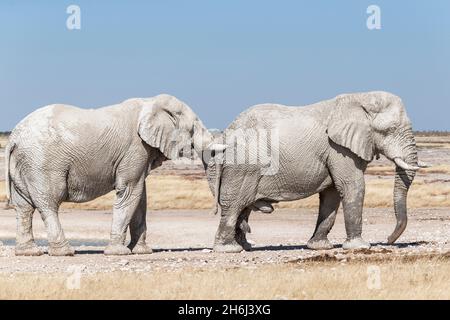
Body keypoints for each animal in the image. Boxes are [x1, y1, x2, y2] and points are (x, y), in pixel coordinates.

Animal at [5, 94, 225, 256]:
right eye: (193, 127)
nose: (213, 212)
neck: (150, 102)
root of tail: (13, 137)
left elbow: (140, 197)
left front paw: (142, 252)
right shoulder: (135, 148)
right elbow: (129, 192)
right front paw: (119, 252)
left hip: (24, 163)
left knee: (23, 207)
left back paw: (29, 252)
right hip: (42, 162)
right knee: (49, 203)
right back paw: (65, 252)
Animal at [207, 90, 428, 252]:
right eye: (390, 129)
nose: (389, 239)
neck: (360, 97)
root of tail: (225, 134)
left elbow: (332, 194)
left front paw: (320, 247)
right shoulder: (338, 148)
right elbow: (352, 186)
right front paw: (360, 247)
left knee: (242, 208)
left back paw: (245, 246)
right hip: (243, 165)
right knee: (235, 205)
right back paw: (229, 249)